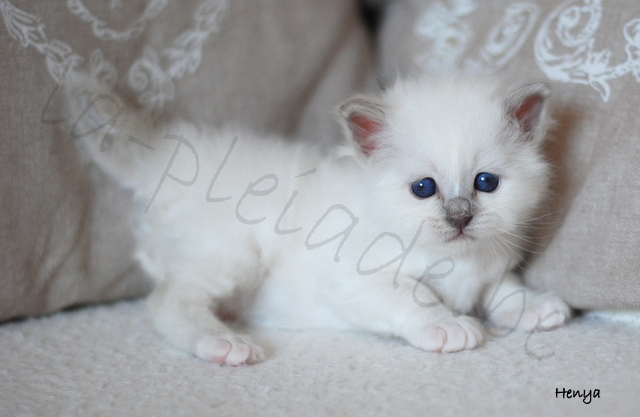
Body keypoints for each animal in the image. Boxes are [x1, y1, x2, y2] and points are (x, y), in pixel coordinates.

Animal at [63, 74, 568, 364]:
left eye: (486, 183)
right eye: (423, 189)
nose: (460, 218)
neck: (455, 257)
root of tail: (166, 157)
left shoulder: (489, 270)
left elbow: (506, 291)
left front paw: (537, 307)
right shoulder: (355, 276)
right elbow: (416, 297)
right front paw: (448, 326)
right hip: (234, 255)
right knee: (168, 300)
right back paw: (226, 345)